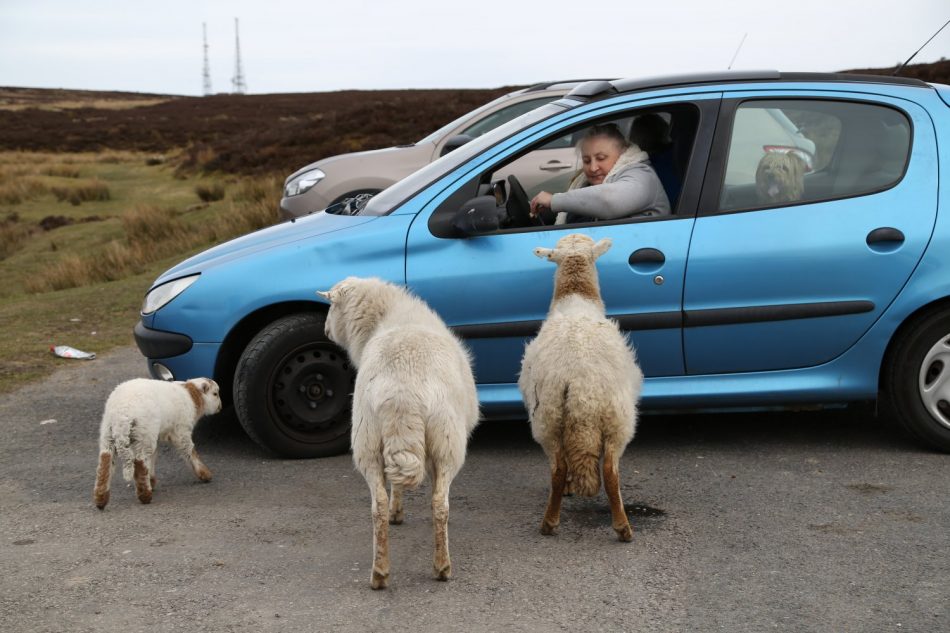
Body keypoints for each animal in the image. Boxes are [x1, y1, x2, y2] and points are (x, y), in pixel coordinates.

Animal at [94, 376, 222, 508]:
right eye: (215, 394)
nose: (220, 407)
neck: (193, 395)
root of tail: (122, 415)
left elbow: (153, 457)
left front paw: (152, 480)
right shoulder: (181, 431)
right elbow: (190, 451)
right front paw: (205, 474)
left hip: (108, 432)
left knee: (105, 462)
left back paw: (101, 499)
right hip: (143, 432)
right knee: (140, 462)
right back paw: (145, 496)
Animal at [318, 276, 480, 588]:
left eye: (331, 307)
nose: (325, 330)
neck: (390, 315)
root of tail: (402, 393)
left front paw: (397, 512)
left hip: (367, 440)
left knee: (377, 505)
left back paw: (380, 572)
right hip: (446, 442)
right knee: (440, 503)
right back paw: (442, 566)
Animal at [520, 235, 648, 540]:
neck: (576, 297)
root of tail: (579, 379)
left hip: (550, 417)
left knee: (562, 467)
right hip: (616, 418)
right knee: (607, 471)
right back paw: (618, 527)